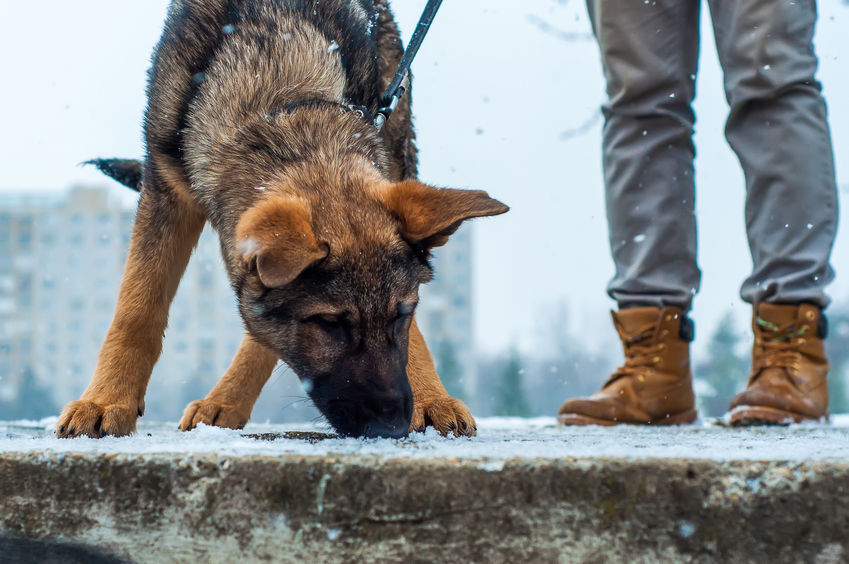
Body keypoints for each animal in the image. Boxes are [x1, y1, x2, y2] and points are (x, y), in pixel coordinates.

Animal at [56, 0, 506, 440]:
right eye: (328, 323)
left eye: (401, 314)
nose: (391, 427)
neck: (275, 90)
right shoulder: (165, 187)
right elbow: (138, 306)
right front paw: (106, 401)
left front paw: (430, 399)